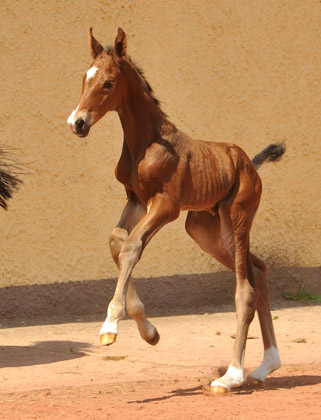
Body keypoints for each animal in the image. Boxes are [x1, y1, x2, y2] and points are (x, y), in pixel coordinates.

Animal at [67, 27, 284, 394]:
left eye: (108, 83)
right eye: (85, 78)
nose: (77, 123)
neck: (147, 140)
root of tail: (248, 163)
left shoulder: (165, 205)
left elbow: (131, 246)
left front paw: (110, 325)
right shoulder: (136, 200)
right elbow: (117, 241)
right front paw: (149, 330)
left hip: (238, 217)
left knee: (246, 290)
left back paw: (231, 375)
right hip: (205, 229)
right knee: (259, 269)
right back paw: (266, 365)